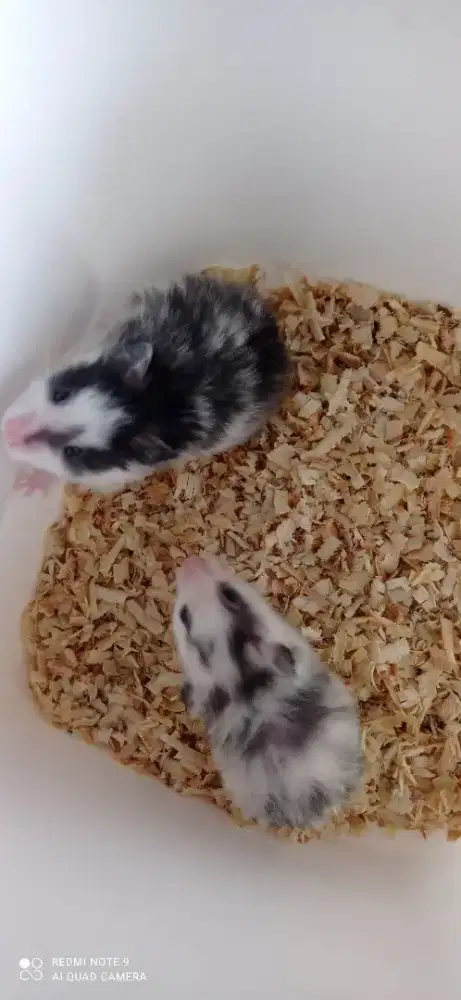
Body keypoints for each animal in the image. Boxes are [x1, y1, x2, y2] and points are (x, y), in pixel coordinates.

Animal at [1, 274, 290, 492]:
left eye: (74, 452)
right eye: (61, 393)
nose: (6, 432)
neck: (153, 396)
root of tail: (272, 330)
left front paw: (25, 485)